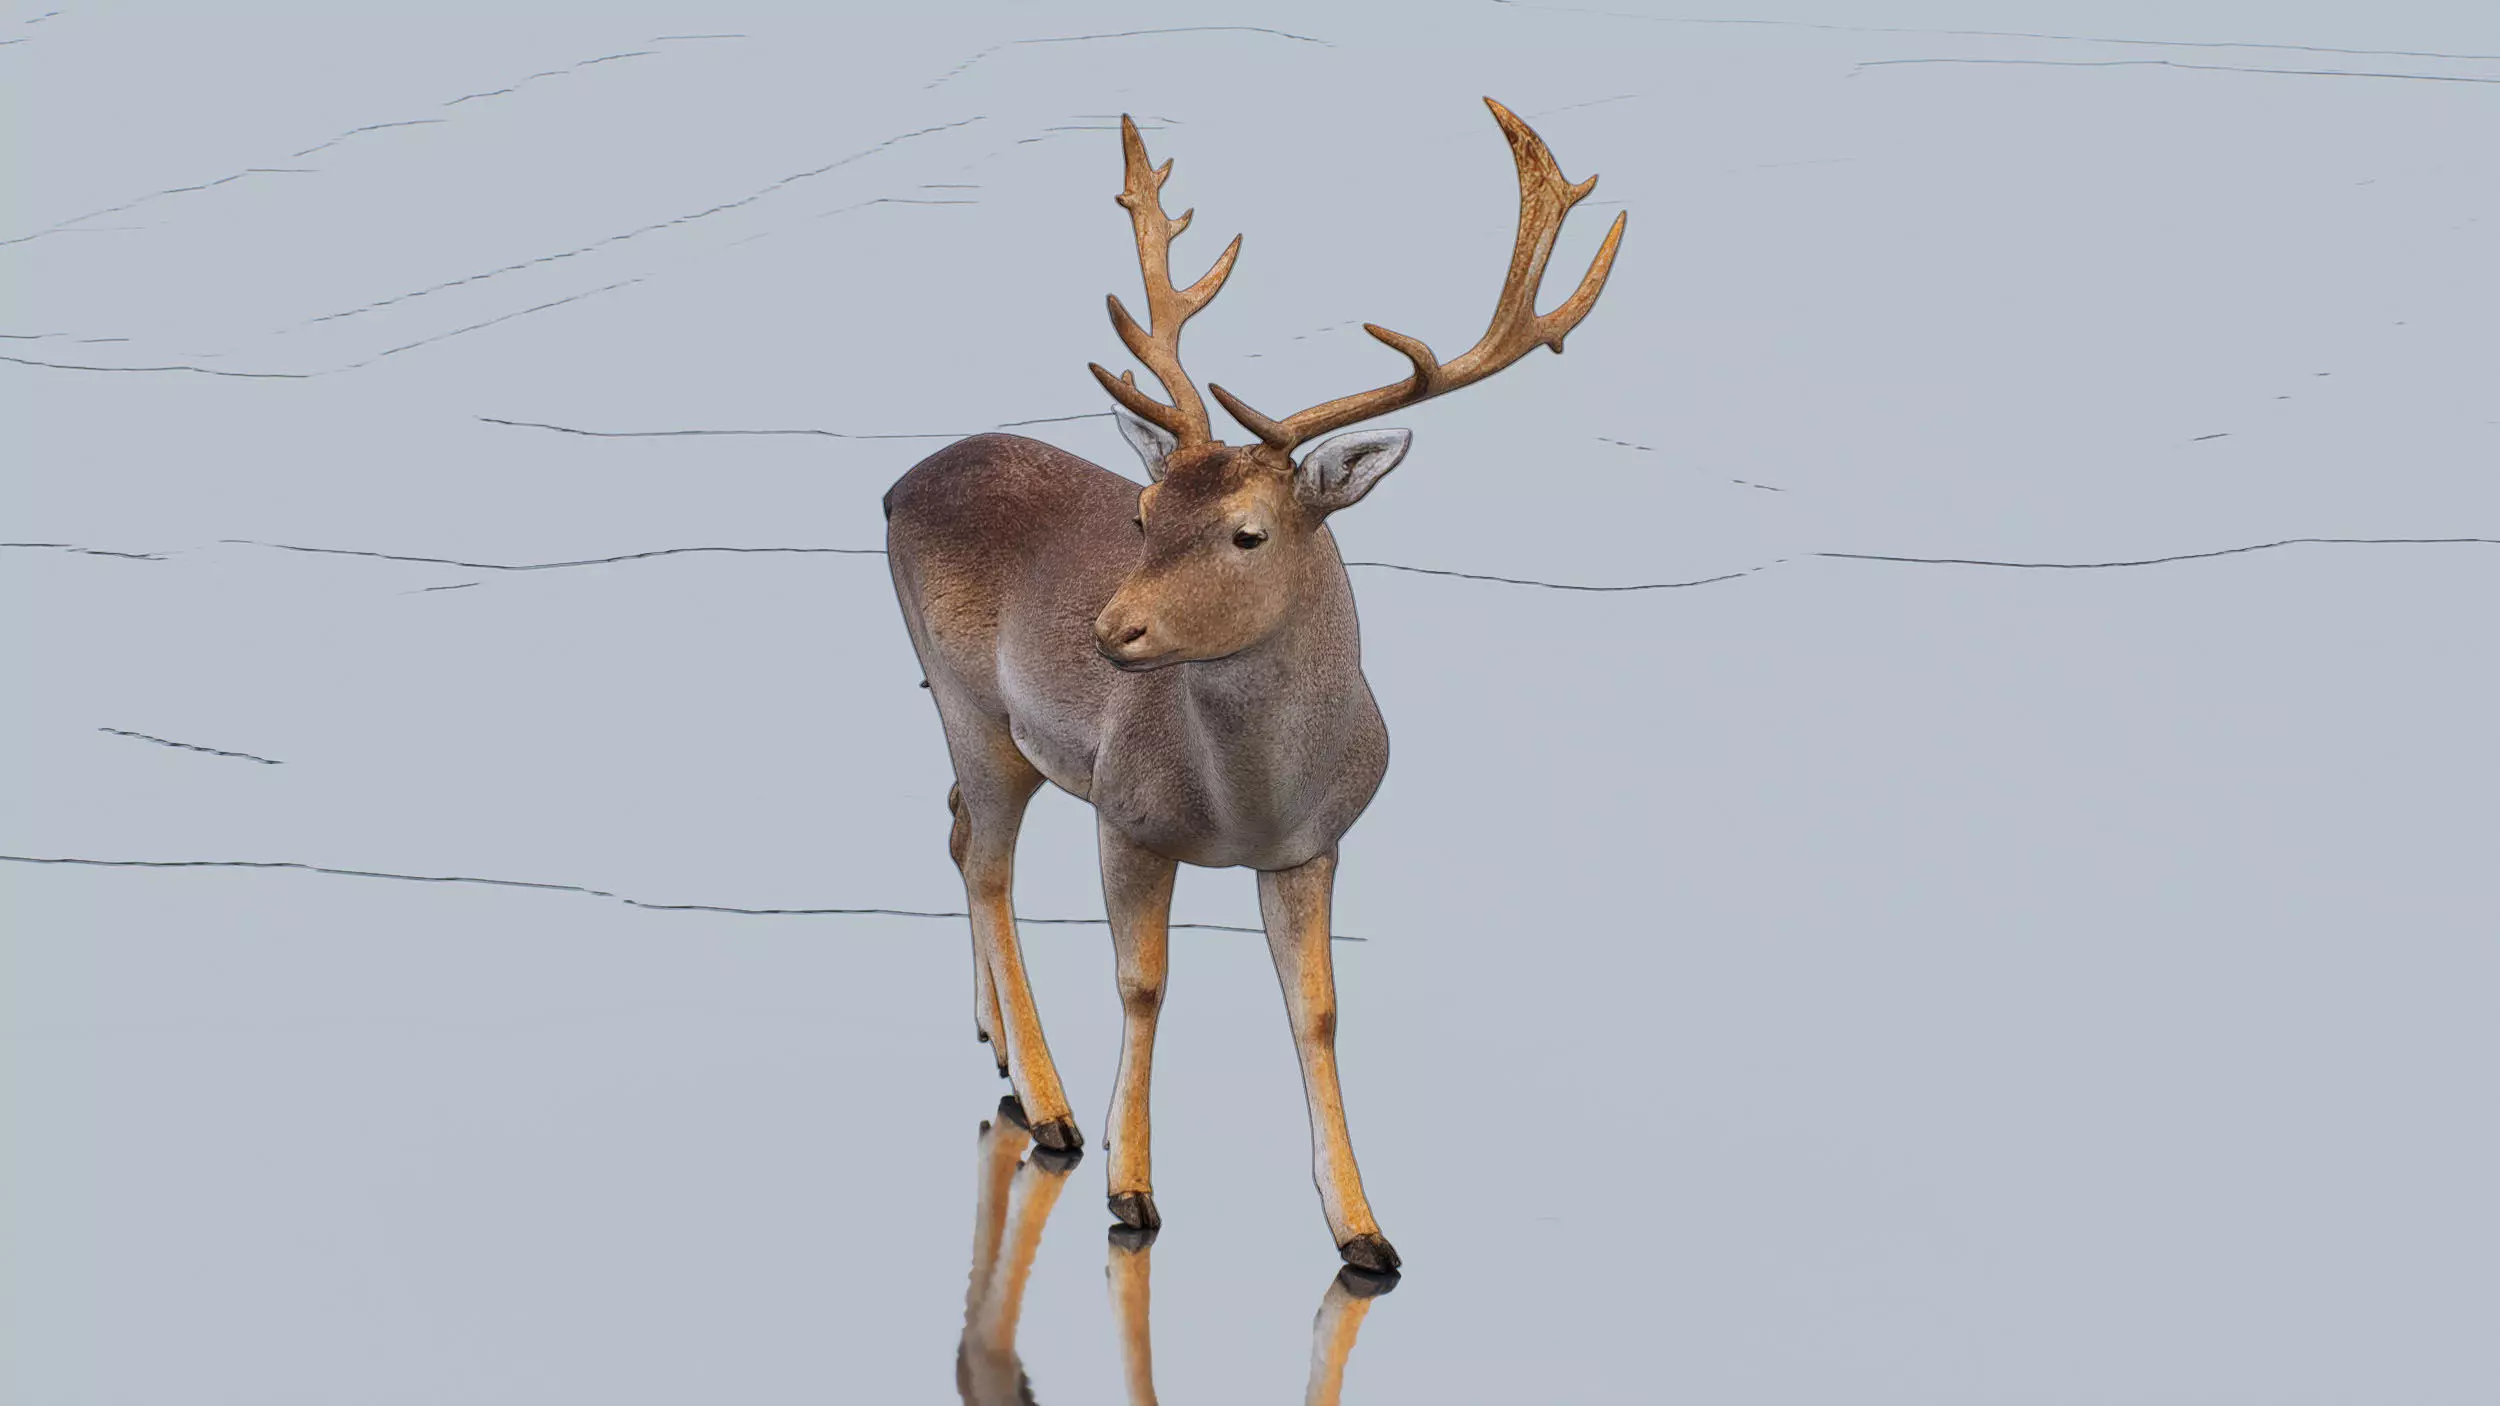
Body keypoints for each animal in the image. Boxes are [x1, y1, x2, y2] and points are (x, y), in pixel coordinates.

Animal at [884, 98, 1625, 1273]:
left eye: (1248, 531)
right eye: (1141, 512)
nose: (1110, 629)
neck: (1243, 804)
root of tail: (895, 486)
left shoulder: (1316, 841)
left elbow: (1317, 1010)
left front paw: (1363, 1227)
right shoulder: (1127, 810)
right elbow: (1143, 982)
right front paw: (1130, 1185)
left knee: (956, 831)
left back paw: (995, 1043)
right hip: (969, 703)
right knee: (989, 865)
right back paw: (1049, 1109)